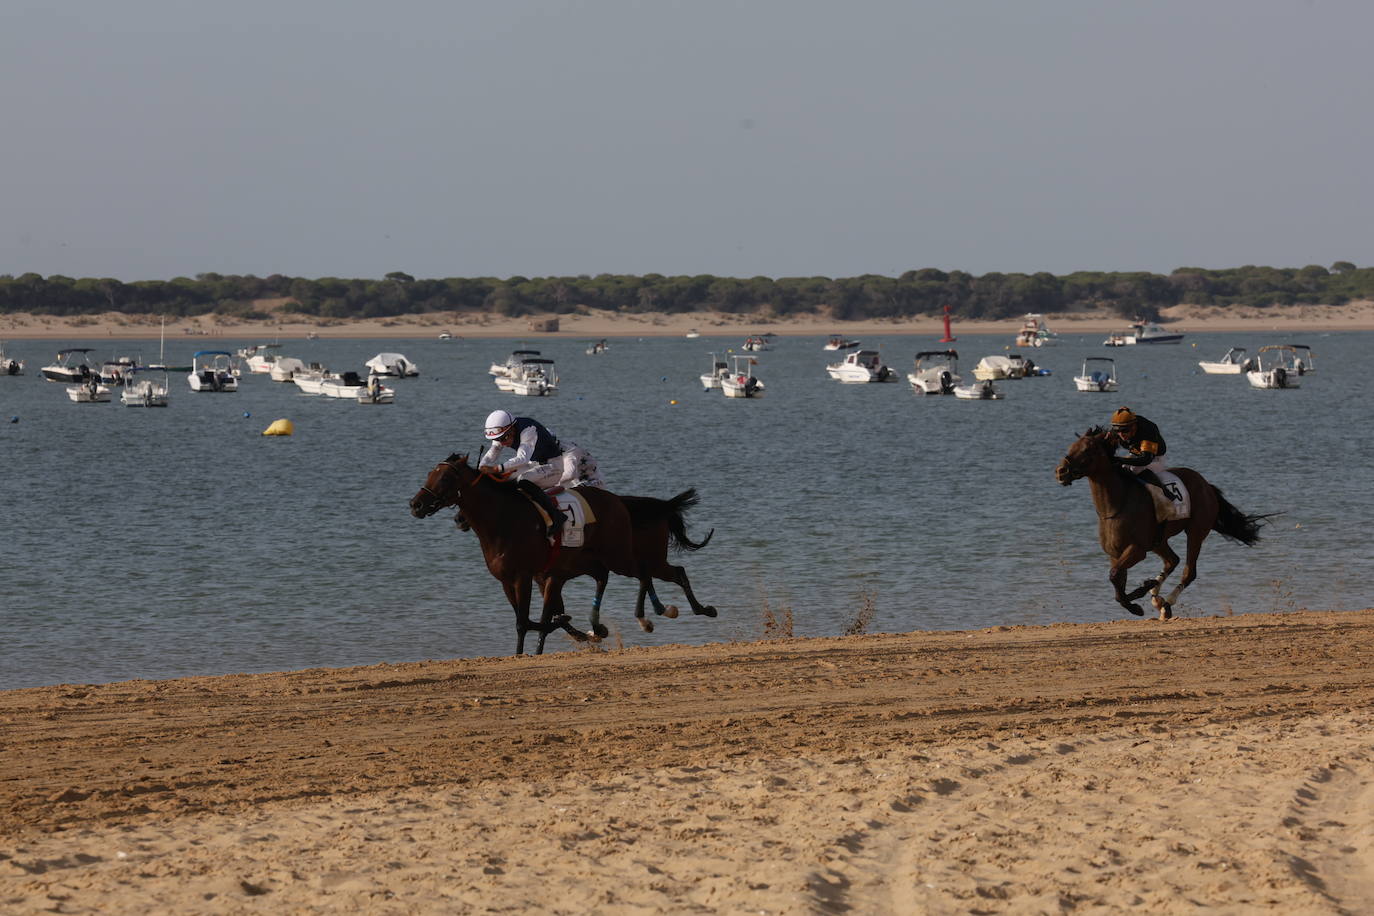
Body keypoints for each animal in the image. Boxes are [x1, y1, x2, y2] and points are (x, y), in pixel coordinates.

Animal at [409, 453, 638, 655]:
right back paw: (595, 629)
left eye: (445, 478)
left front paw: (522, 652)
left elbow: (524, 622)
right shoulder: (509, 580)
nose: (415, 504)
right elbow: (531, 619)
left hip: (615, 556)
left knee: (625, 573)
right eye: (430, 473)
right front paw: (569, 628)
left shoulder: (523, 576)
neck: (503, 519)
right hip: (574, 563)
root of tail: (615, 499)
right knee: (600, 575)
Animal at [452, 489, 719, 636]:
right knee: (664, 575)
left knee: (665, 573)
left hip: (640, 559)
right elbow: (552, 613)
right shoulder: (545, 577)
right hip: (644, 560)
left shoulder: (550, 575)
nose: (458, 518)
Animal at [1054, 426, 1269, 619]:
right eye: (1072, 446)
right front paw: (1138, 596)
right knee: (1172, 560)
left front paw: (1137, 601)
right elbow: (1116, 581)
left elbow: (1115, 576)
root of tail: (1206, 485)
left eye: (1087, 449)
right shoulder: (1115, 554)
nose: (1061, 471)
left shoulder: (1136, 549)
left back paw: (1165, 603)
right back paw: (1155, 596)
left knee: (1189, 571)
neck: (1115, 505)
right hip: (1159, 540)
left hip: (1196, 531)